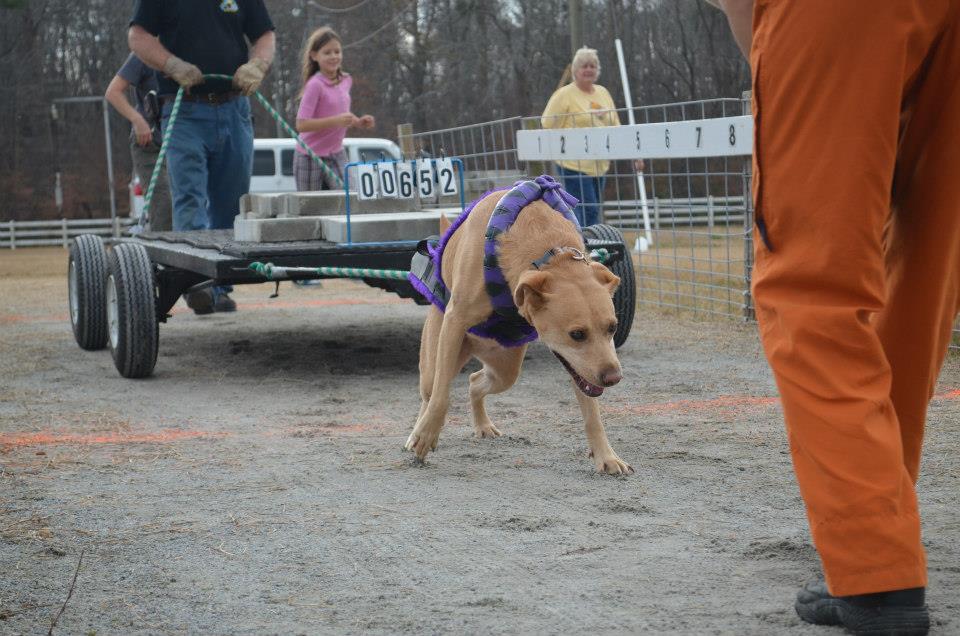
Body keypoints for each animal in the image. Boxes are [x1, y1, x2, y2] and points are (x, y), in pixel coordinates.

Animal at [404, 176, 632, 474]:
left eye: (612, 328)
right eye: (577, 334)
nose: (613, 378)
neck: (548, 250)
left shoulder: (582, 372)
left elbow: (592, 413)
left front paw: (606, 456)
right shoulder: (455, 321)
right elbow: (442, 398)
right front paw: (427, 435)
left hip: (506, 369)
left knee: (475, 381)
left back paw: (483, 424)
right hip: (439, 355)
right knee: (431, 393)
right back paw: (417, 433)